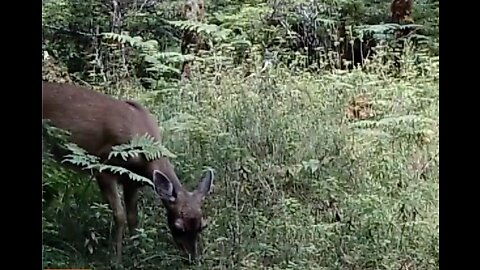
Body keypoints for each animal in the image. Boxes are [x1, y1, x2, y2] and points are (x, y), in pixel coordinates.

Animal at [42, 80, 215, 264]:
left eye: (202, 226)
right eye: (178, 227)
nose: (193, 258)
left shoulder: (132, 181)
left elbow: (133, 218)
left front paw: (139, 254)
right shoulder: (104, 167)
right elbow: (120, 215)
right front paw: (116, 259)